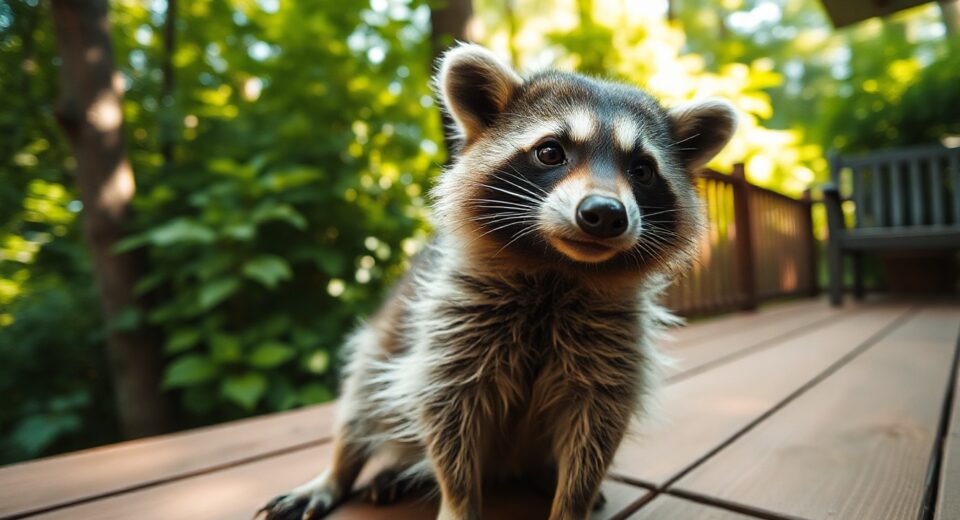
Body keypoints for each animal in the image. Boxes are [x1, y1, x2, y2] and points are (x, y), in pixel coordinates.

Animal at [258, 44, 737, 520]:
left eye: (641, 170)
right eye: (550, 152)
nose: (604, 213)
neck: (557, 270)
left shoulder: (613, 345)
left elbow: (595, 430)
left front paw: (572, 502)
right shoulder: (450, 325)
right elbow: (446, 419)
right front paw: (457, 502)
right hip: (387, 336)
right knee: (363, 395)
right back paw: (340, 471)